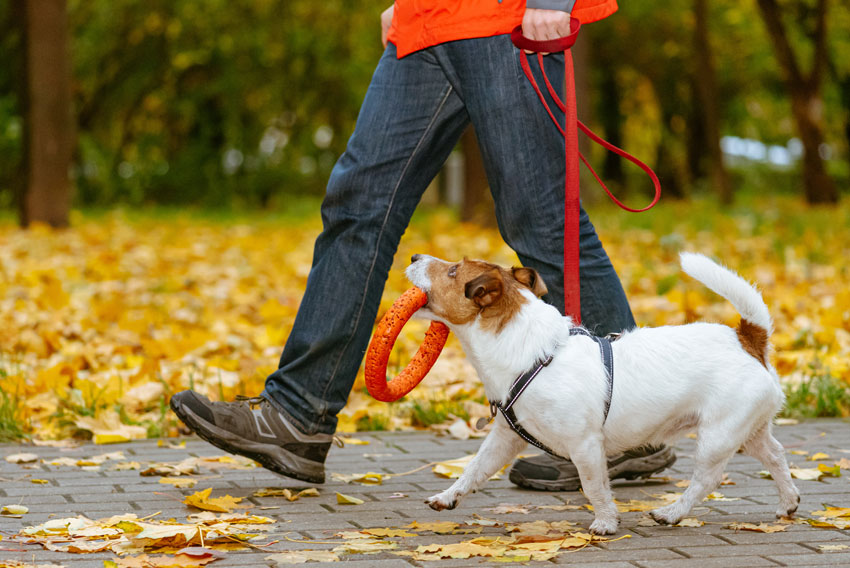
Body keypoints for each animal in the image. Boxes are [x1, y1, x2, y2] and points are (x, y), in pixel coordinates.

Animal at [404, 251, 796, 536]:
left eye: (452, 270)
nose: (413, 256)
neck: (531, 351)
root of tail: (748, 338)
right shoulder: (505, 438)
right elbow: (474, 469)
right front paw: (447, 497)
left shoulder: (585, 445)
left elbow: (594, 486)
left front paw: (606, 522)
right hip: (750, 431)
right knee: (776, 456)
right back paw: (788, 502)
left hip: (718, 435)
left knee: (705, 480)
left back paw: (672, 512)